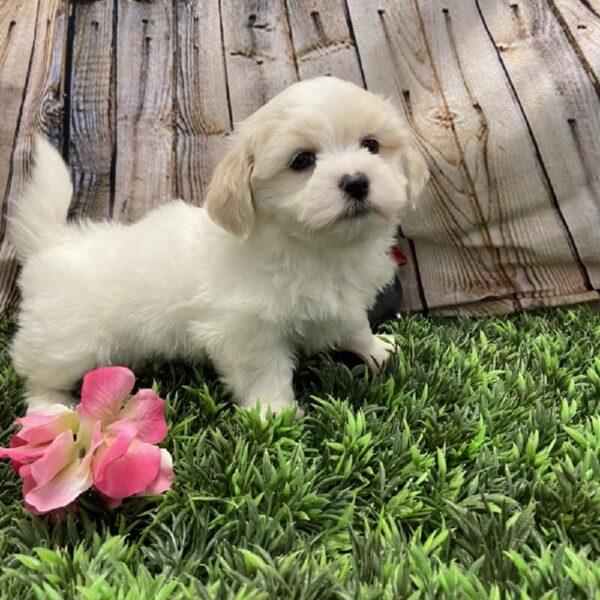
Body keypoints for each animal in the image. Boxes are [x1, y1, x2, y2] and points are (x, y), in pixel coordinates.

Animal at [7, 76, 428, 418]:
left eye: (371, 145)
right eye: (302, 161)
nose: (356, 181)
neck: (315, 248)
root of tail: (54, 241)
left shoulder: (346, 301)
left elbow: (355, 327)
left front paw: (377, 348)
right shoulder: (245, 329)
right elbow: (265, 372)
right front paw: (274, 417)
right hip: (67, 344)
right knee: (34, 373)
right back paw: (51, 407)